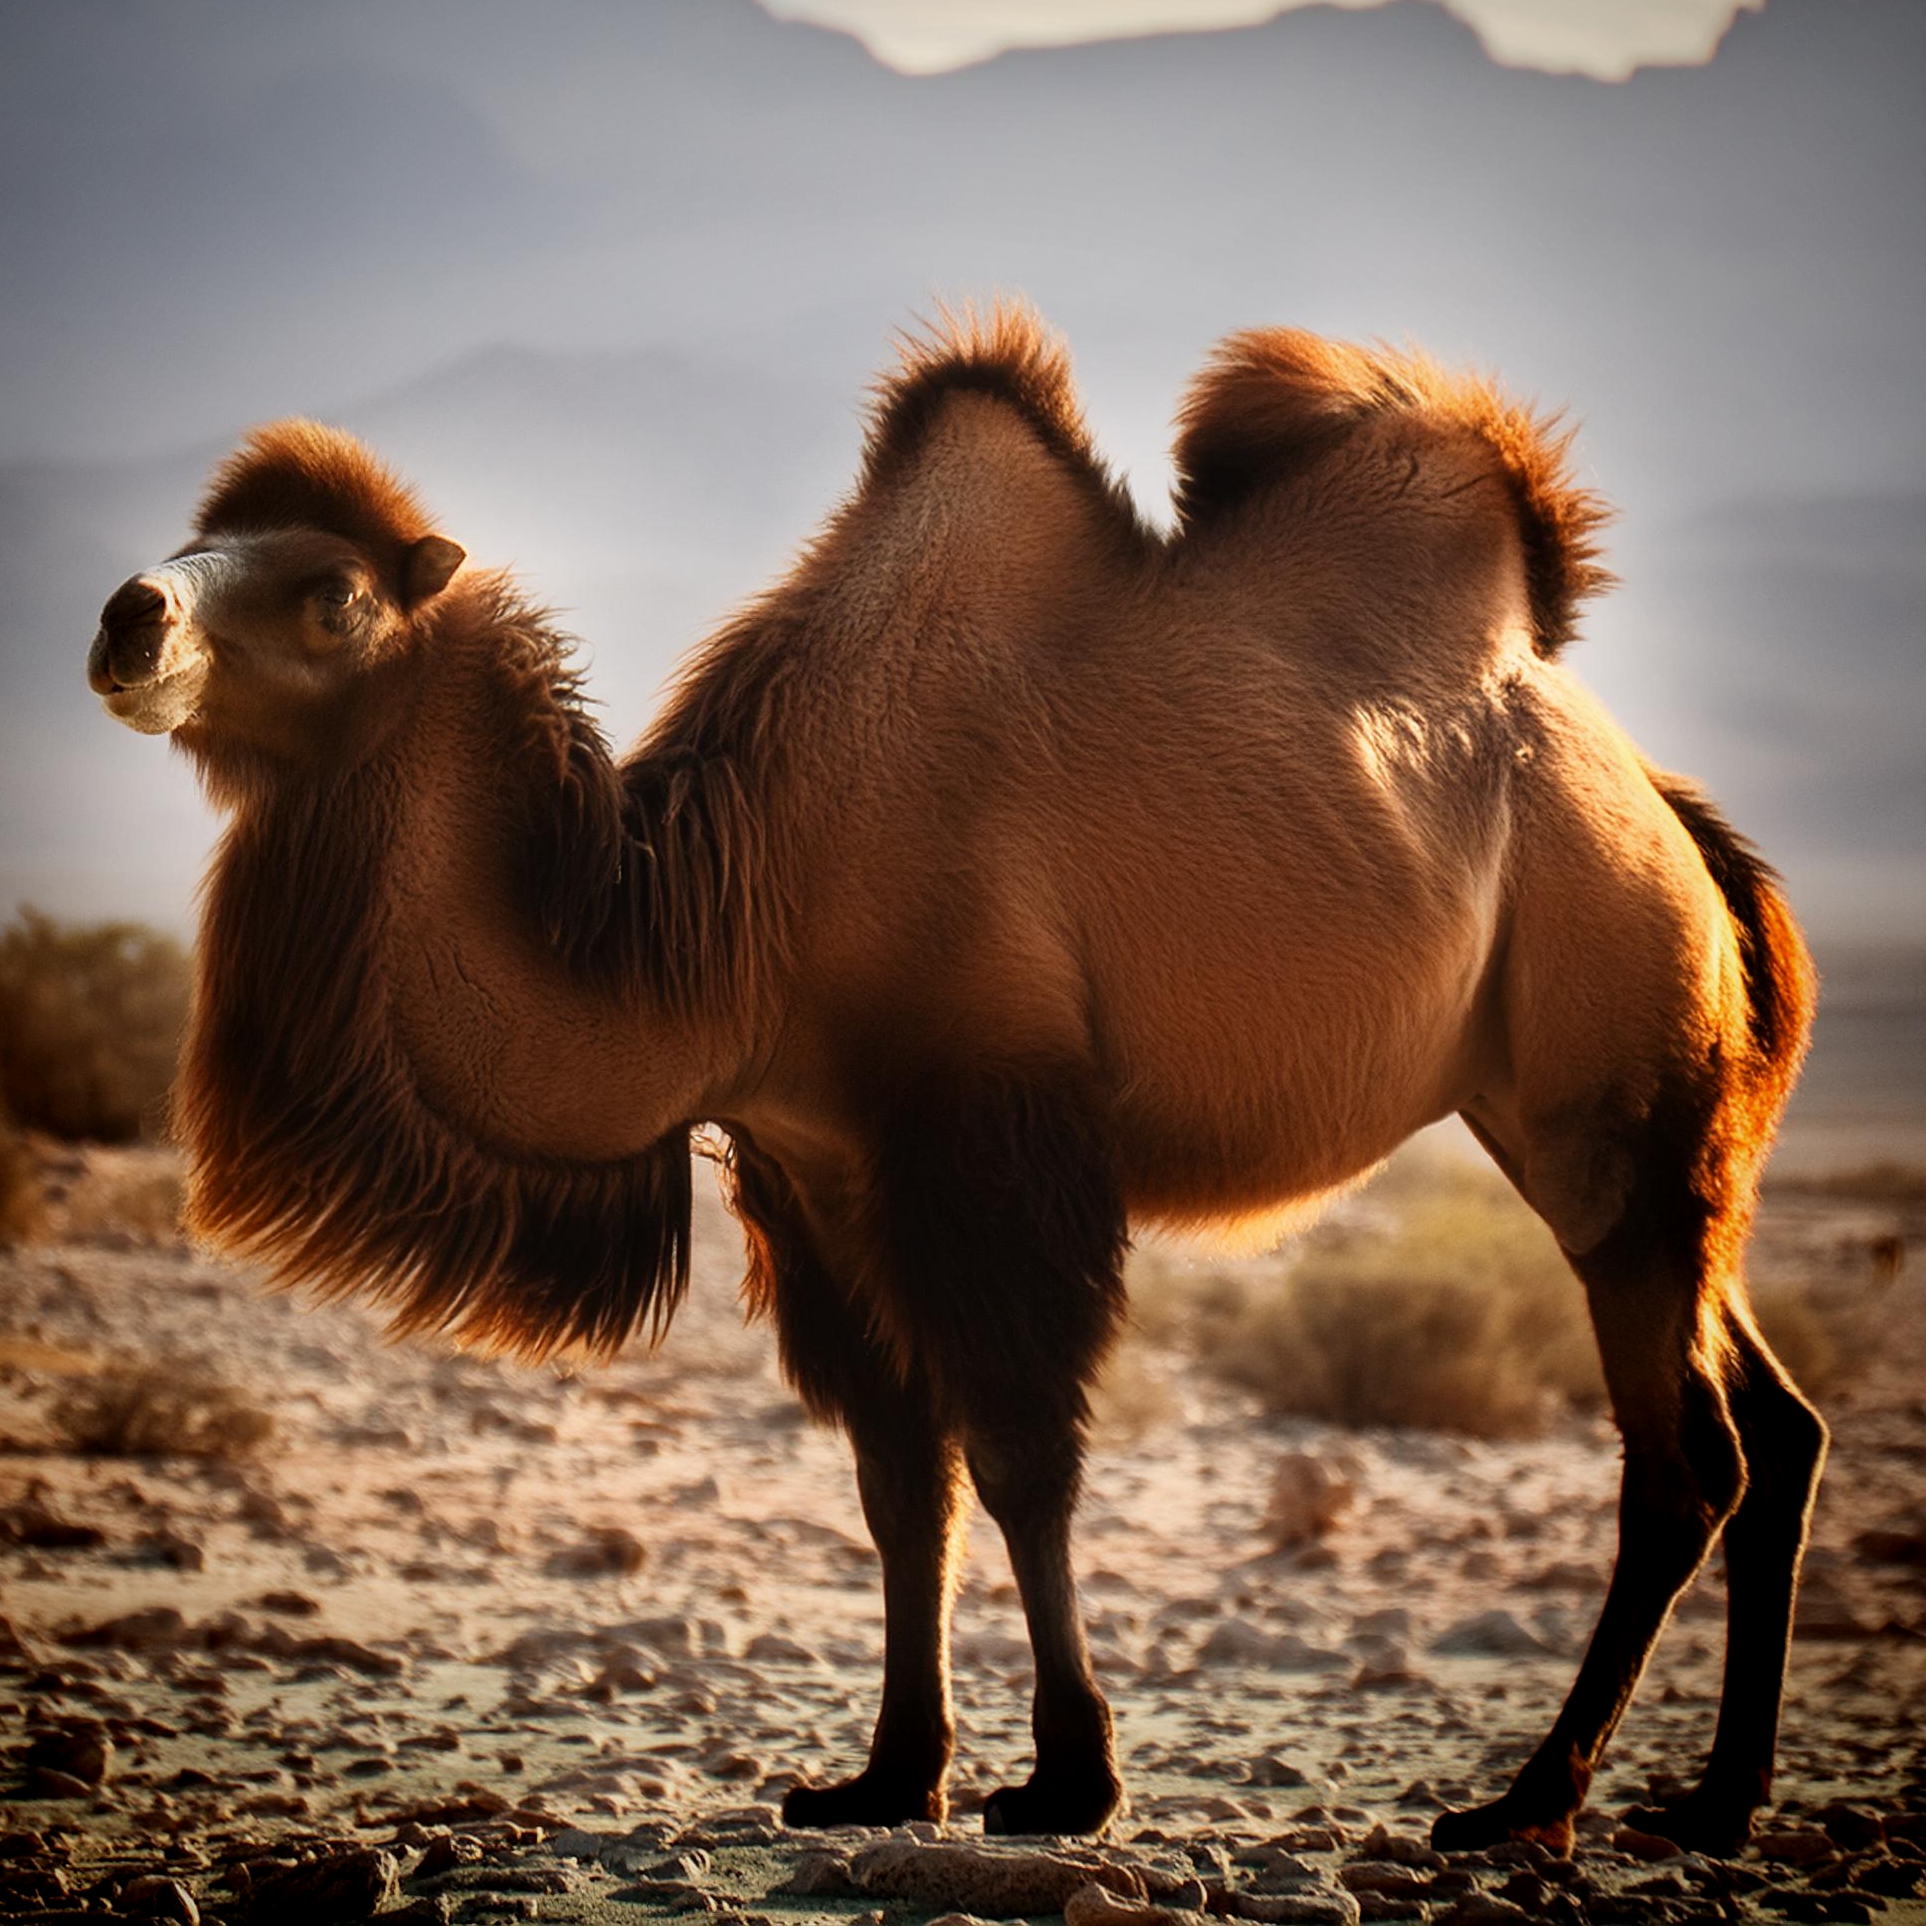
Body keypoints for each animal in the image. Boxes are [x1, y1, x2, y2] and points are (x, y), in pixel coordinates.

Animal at [90, 312, 1825, 1848]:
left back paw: (1529, 1801)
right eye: (198, 538)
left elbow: (1018, 1457)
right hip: (1621, 1132)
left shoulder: (986, 1132)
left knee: (1687, 1457)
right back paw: (1711, 1802)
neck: (723, 926)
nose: (125, 617)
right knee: (1776, 1422)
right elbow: (895, 1481)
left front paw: (1066, 1780)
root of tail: (1678, 824)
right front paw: (885, 1775)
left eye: (329, 593)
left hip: (1610, 1068)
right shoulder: (814, 1166)